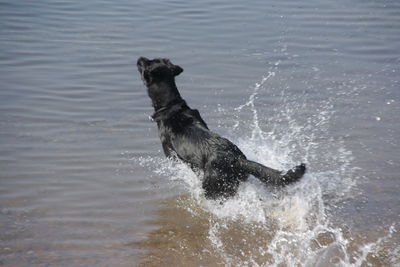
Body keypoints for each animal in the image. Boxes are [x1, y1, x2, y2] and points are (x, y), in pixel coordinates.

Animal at [138, 57, 306, 199]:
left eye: (147, 63)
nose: (140, 58)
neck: (171, 105)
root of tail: (236, 159)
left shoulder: (171, 154)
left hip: (212, 187)